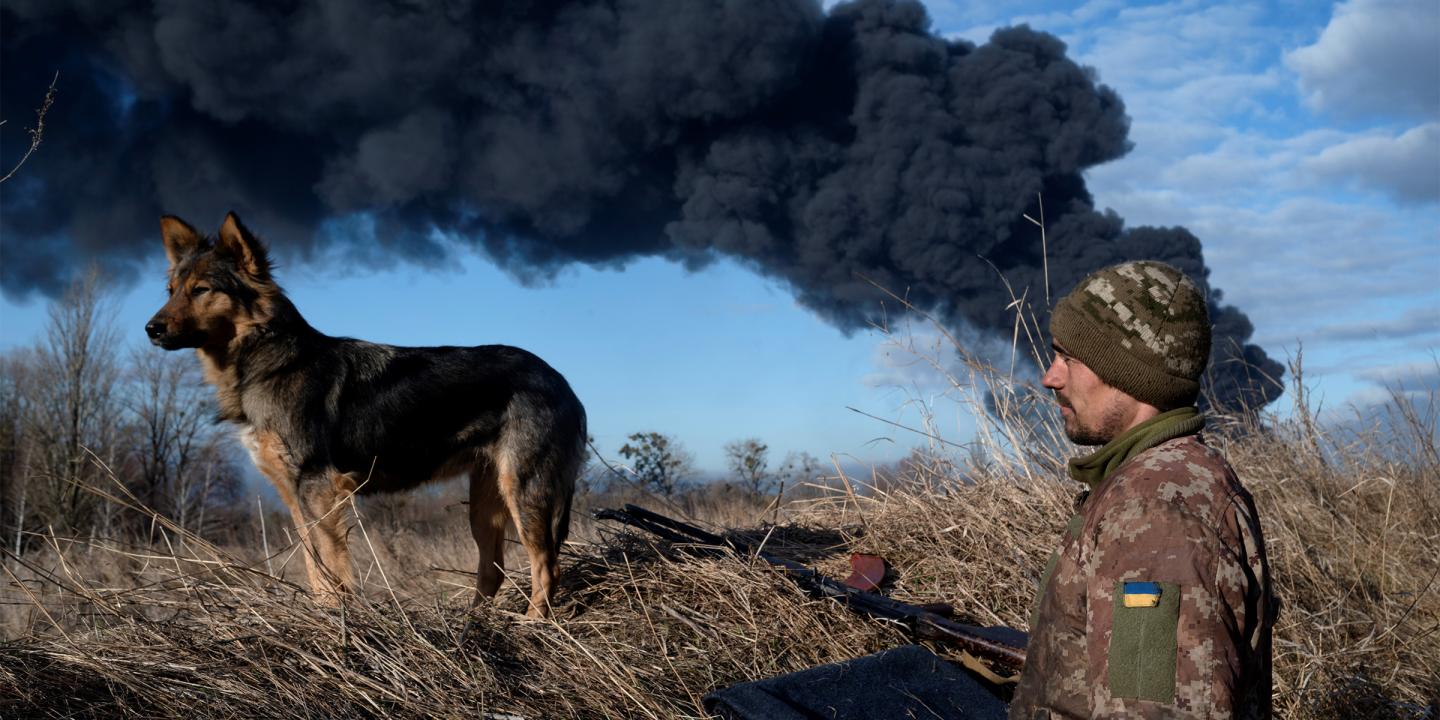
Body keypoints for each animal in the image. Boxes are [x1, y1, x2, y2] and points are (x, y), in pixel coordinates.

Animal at [144, 210, 584, 616]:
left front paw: (340, 617)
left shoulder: (321, 490)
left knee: (547, 567)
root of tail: (562, 382)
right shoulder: (296, 497)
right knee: (493, 570)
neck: (268, 356)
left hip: (524, 490)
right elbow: (315, 568)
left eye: (201, 290)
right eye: (171, 290)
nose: (151, 328)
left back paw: (531, 626)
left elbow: (333, 567)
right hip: (486, 502)